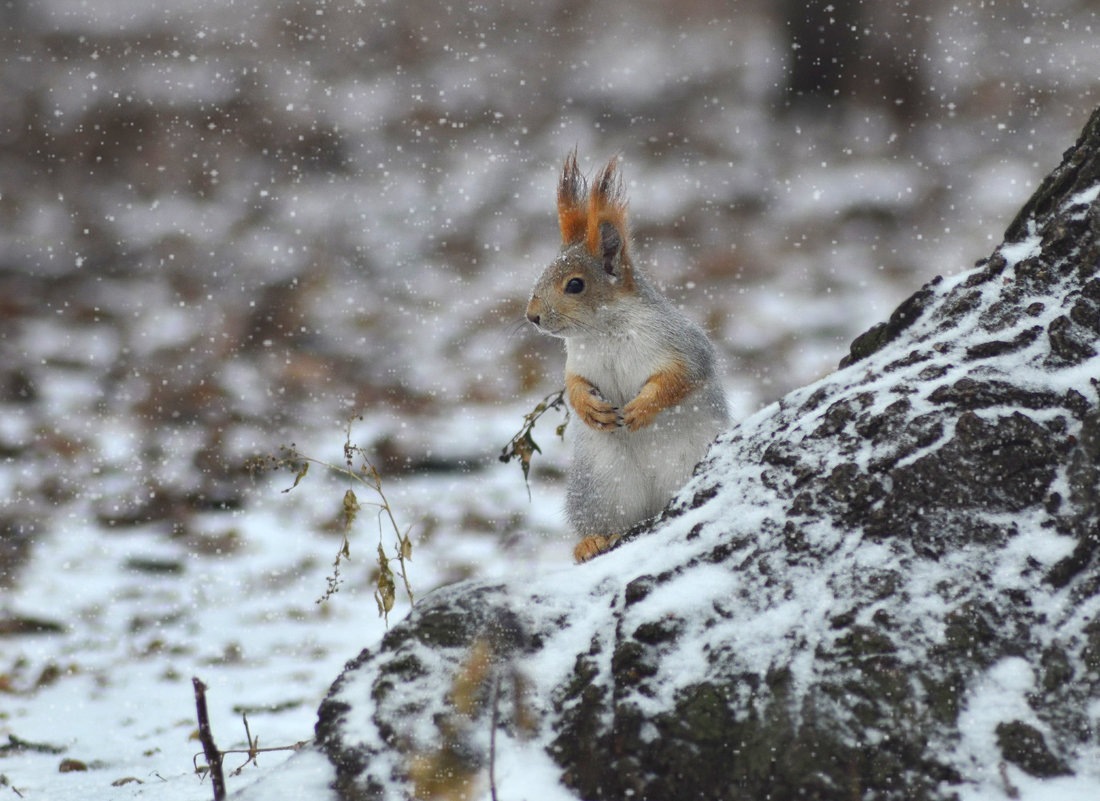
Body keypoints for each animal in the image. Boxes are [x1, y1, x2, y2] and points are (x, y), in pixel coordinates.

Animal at [525, 151, 730, 563]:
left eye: (575, 285)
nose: (532, 316)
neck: (603, 333)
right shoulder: (578, 363)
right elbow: (572, 386)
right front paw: (588, 408)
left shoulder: (683, 345)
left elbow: (683, 376)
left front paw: (642, 408)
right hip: (601, 488)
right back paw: (590, 542)